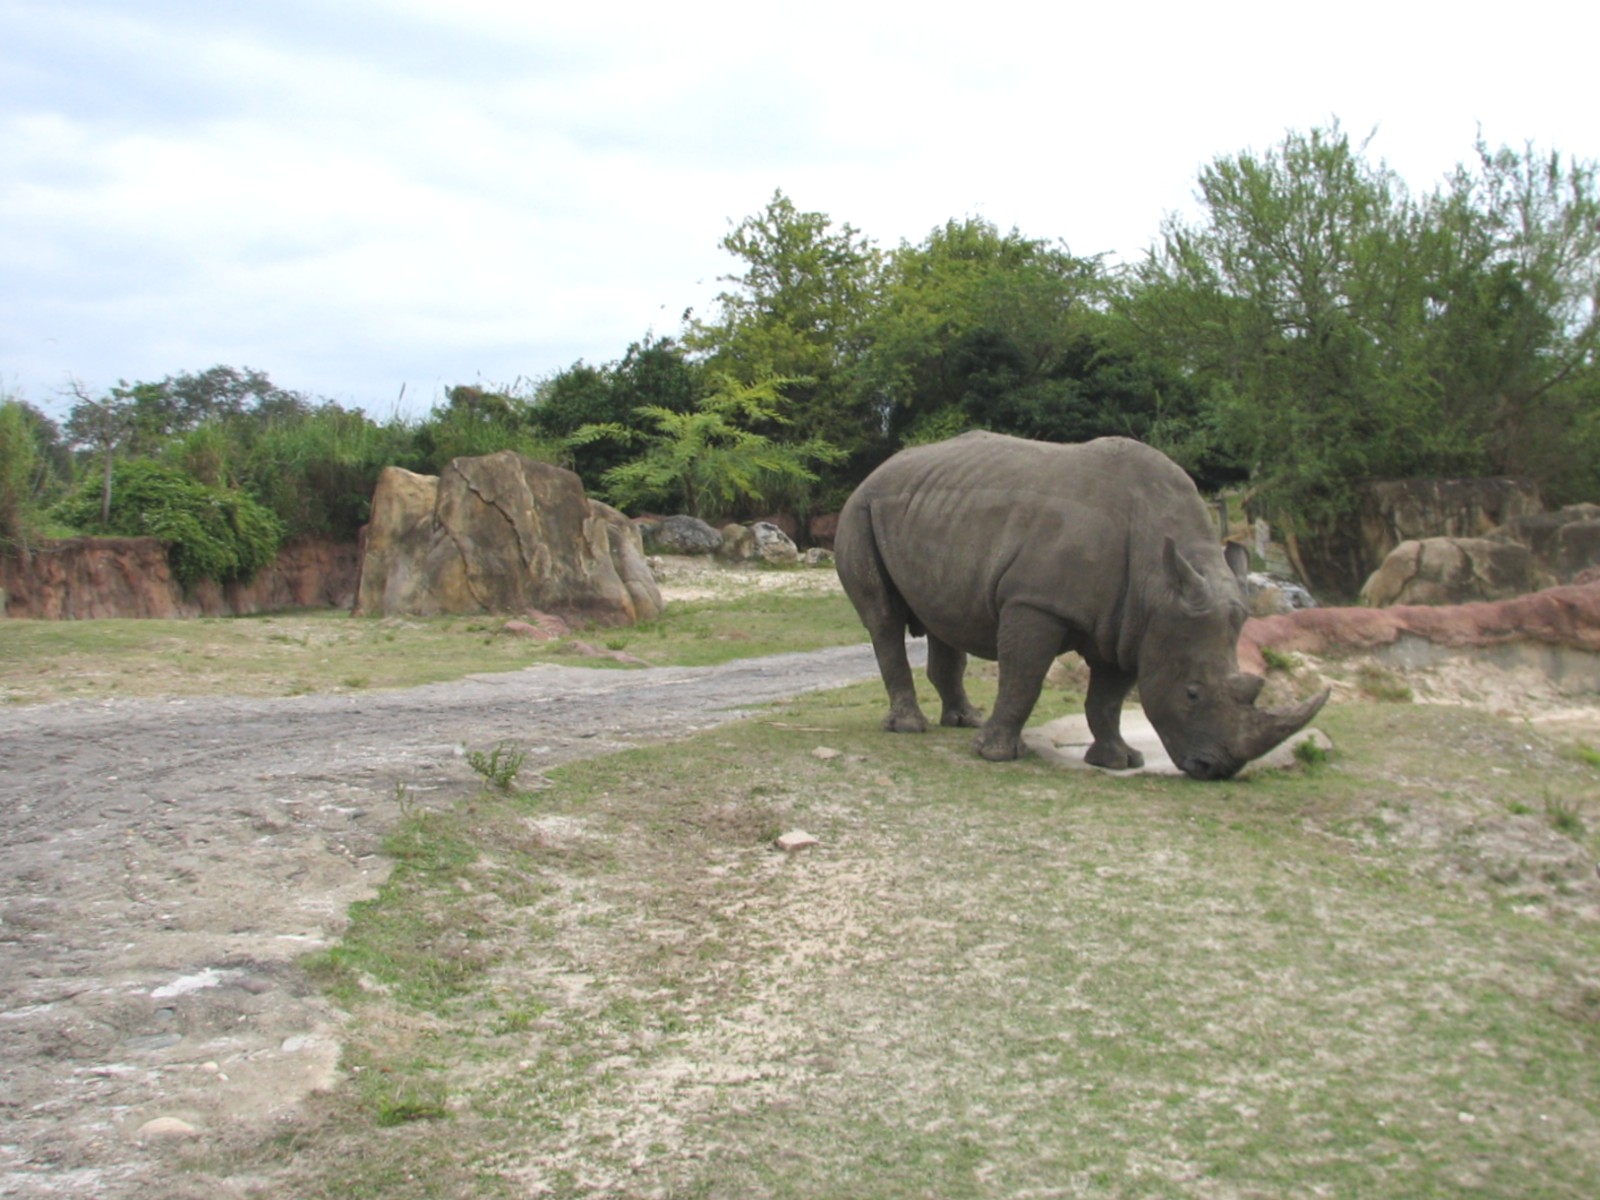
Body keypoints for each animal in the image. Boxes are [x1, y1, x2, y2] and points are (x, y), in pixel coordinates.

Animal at [834, 432, 1327, 780]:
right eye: (1192, 693)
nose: (1216, 769)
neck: (1159, 580)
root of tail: (876, 471)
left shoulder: (1133, 625)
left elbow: (1107, 698)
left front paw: (1120, 762)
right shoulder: (1036, 603)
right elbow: (1024, 679)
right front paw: (997, 756)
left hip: (930, 512)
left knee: (942, 616)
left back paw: (965, 721)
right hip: (859, 511)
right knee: (884, 620)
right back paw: (911, 727)